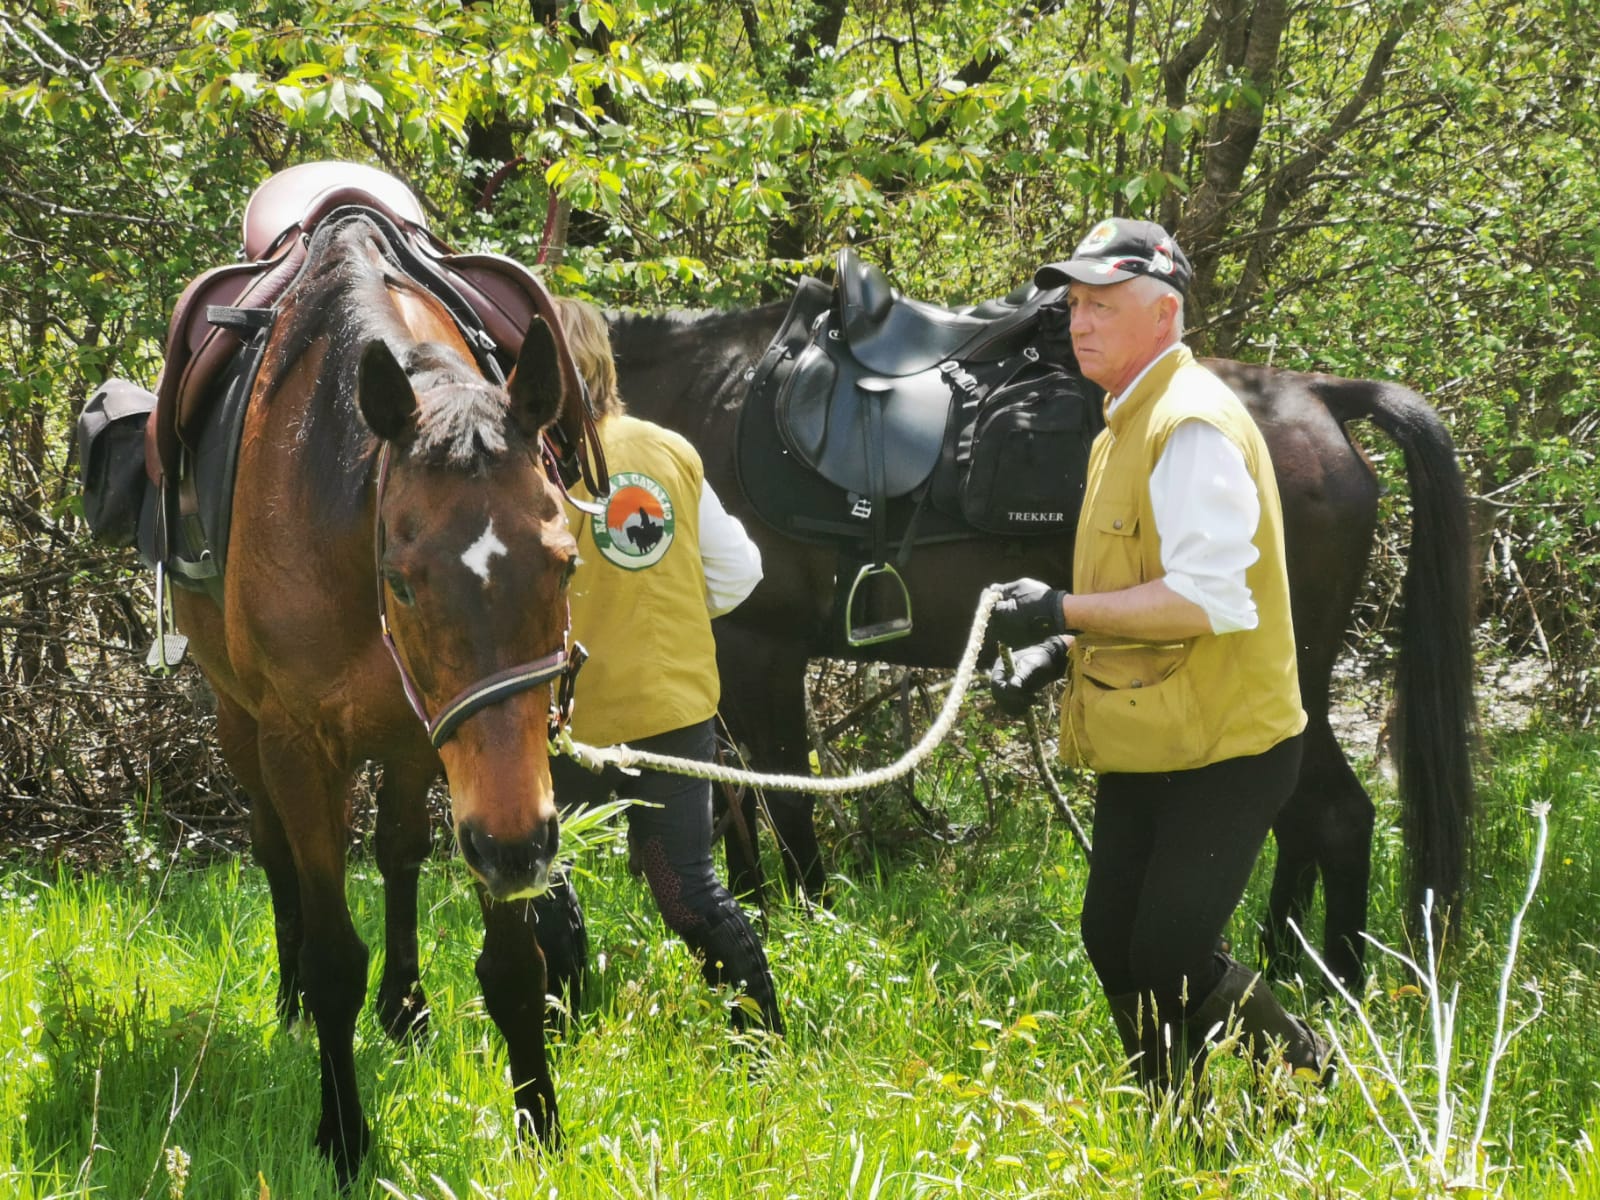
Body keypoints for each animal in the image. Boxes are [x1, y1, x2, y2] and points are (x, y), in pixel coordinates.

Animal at [170, 212, 583, 1184]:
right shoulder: (295, 745)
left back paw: (407, 1008)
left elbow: (514, 961)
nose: (514, 847)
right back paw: (289, 1000)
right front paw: (344, 1137)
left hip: (415, 741)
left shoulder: (487, 769)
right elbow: (332, 959)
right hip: (244, 724)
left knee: (399, 851)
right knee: (273, 849)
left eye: (564, 564)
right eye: (401, 580)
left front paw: (538, 1125)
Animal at [605, 301, 1475, 990]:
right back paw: (1282, 965)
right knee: (1299, 819)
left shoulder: (762, 654)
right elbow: (727, 799)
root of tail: (1317, 395)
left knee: (1337, 817)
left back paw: (1338, 989)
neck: (691, 403)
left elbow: (782, 799)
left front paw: (809, 925)